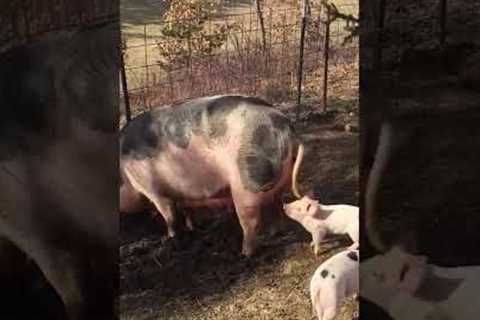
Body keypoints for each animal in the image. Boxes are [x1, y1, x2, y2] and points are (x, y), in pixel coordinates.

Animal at [122, 94, 306, 256]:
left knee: (251, 222)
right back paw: (274, 233)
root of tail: (288, 129)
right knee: (278, 206)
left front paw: (171, 237)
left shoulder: (152, 187)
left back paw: (244, 253)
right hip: (278, 182)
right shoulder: (183, 193)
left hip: (247, 185)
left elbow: (169, 216)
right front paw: (193, 227)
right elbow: (187, 210)